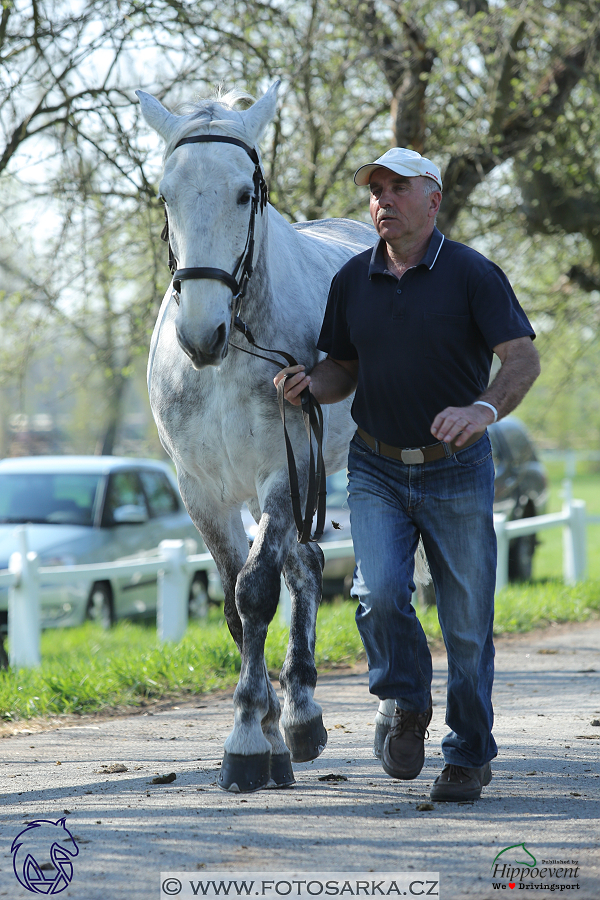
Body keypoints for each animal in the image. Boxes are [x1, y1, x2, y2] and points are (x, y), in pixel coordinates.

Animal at [138, 81, 378, 792]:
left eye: (247, 192)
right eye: (166, 194)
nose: (200, 333)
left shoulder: (281, 471)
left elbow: (256, 591)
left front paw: (247, 738)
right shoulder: (201, 490)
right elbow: (231, 602)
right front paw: (264, 729)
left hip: (320, 468)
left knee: (308, 570)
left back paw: (304, 716)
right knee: (303, 566)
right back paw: (292, 720)